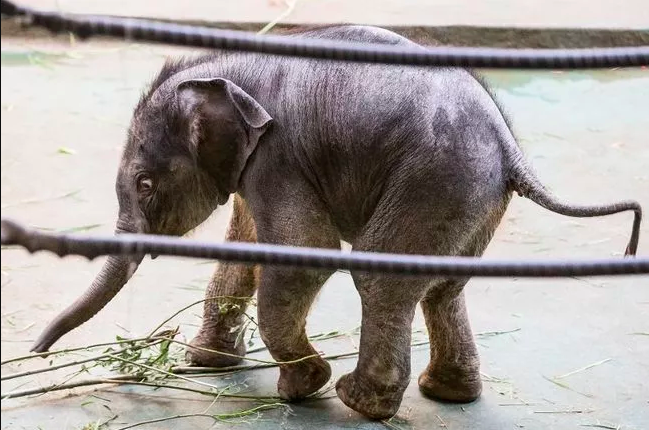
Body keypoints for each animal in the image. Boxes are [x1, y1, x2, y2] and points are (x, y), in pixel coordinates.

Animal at [30, 25, 641, 419]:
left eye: (145, 185)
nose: (37, 353)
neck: (229, 68)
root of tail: (509, 149)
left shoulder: (279, 153)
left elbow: (301, 251)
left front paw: (301, 388)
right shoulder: (259, 163)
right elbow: (246, 245)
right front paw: (202, 364)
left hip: (434, 179)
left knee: (381, 276)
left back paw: (357, 400)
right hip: (471, 197)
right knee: (444, 285)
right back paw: (446, 395)